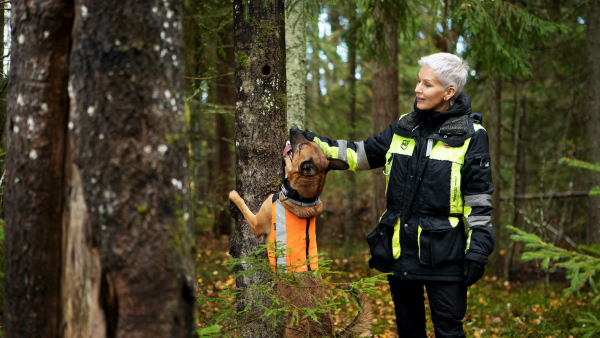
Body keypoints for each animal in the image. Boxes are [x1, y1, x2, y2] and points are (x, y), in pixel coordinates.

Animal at [229, 125, 372, 336]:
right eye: (307, 141)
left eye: (302, 145)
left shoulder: (256, 223)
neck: (301, 196)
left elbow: (243, 205)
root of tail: (327, 333)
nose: (295, 127)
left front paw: (234, 195)